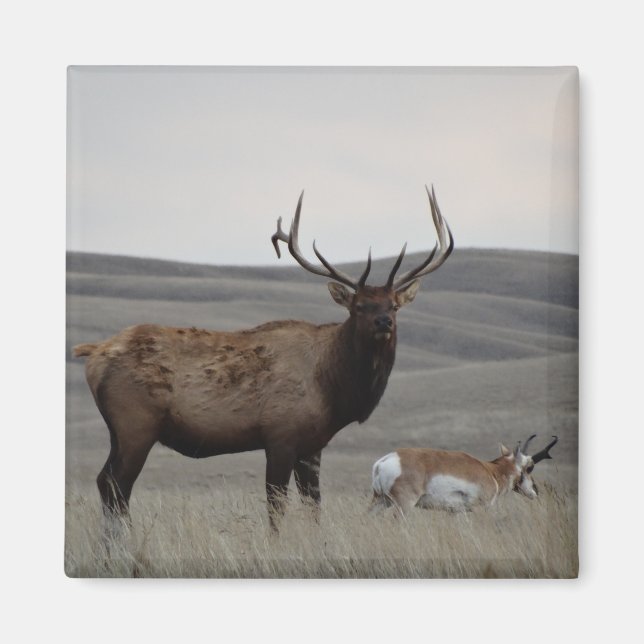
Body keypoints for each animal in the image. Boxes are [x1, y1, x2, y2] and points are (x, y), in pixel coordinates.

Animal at [73, 186, 454, 531]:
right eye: (359, 306)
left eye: (394, 305)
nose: (383, 322)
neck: (333, 388)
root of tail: (94, 353)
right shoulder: (280, 435)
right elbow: (275, 507)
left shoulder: (312, 447)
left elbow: (314, 508)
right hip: (136, 424)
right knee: (116, 485)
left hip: (118, 431)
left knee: (105, 482)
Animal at [370, 435, 558, 516]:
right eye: (530, 467)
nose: (535, 491)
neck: (492, 471)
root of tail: (383, 462)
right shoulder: (480, 509)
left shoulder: (456, 513)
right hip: (404, 505)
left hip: (380, 501)